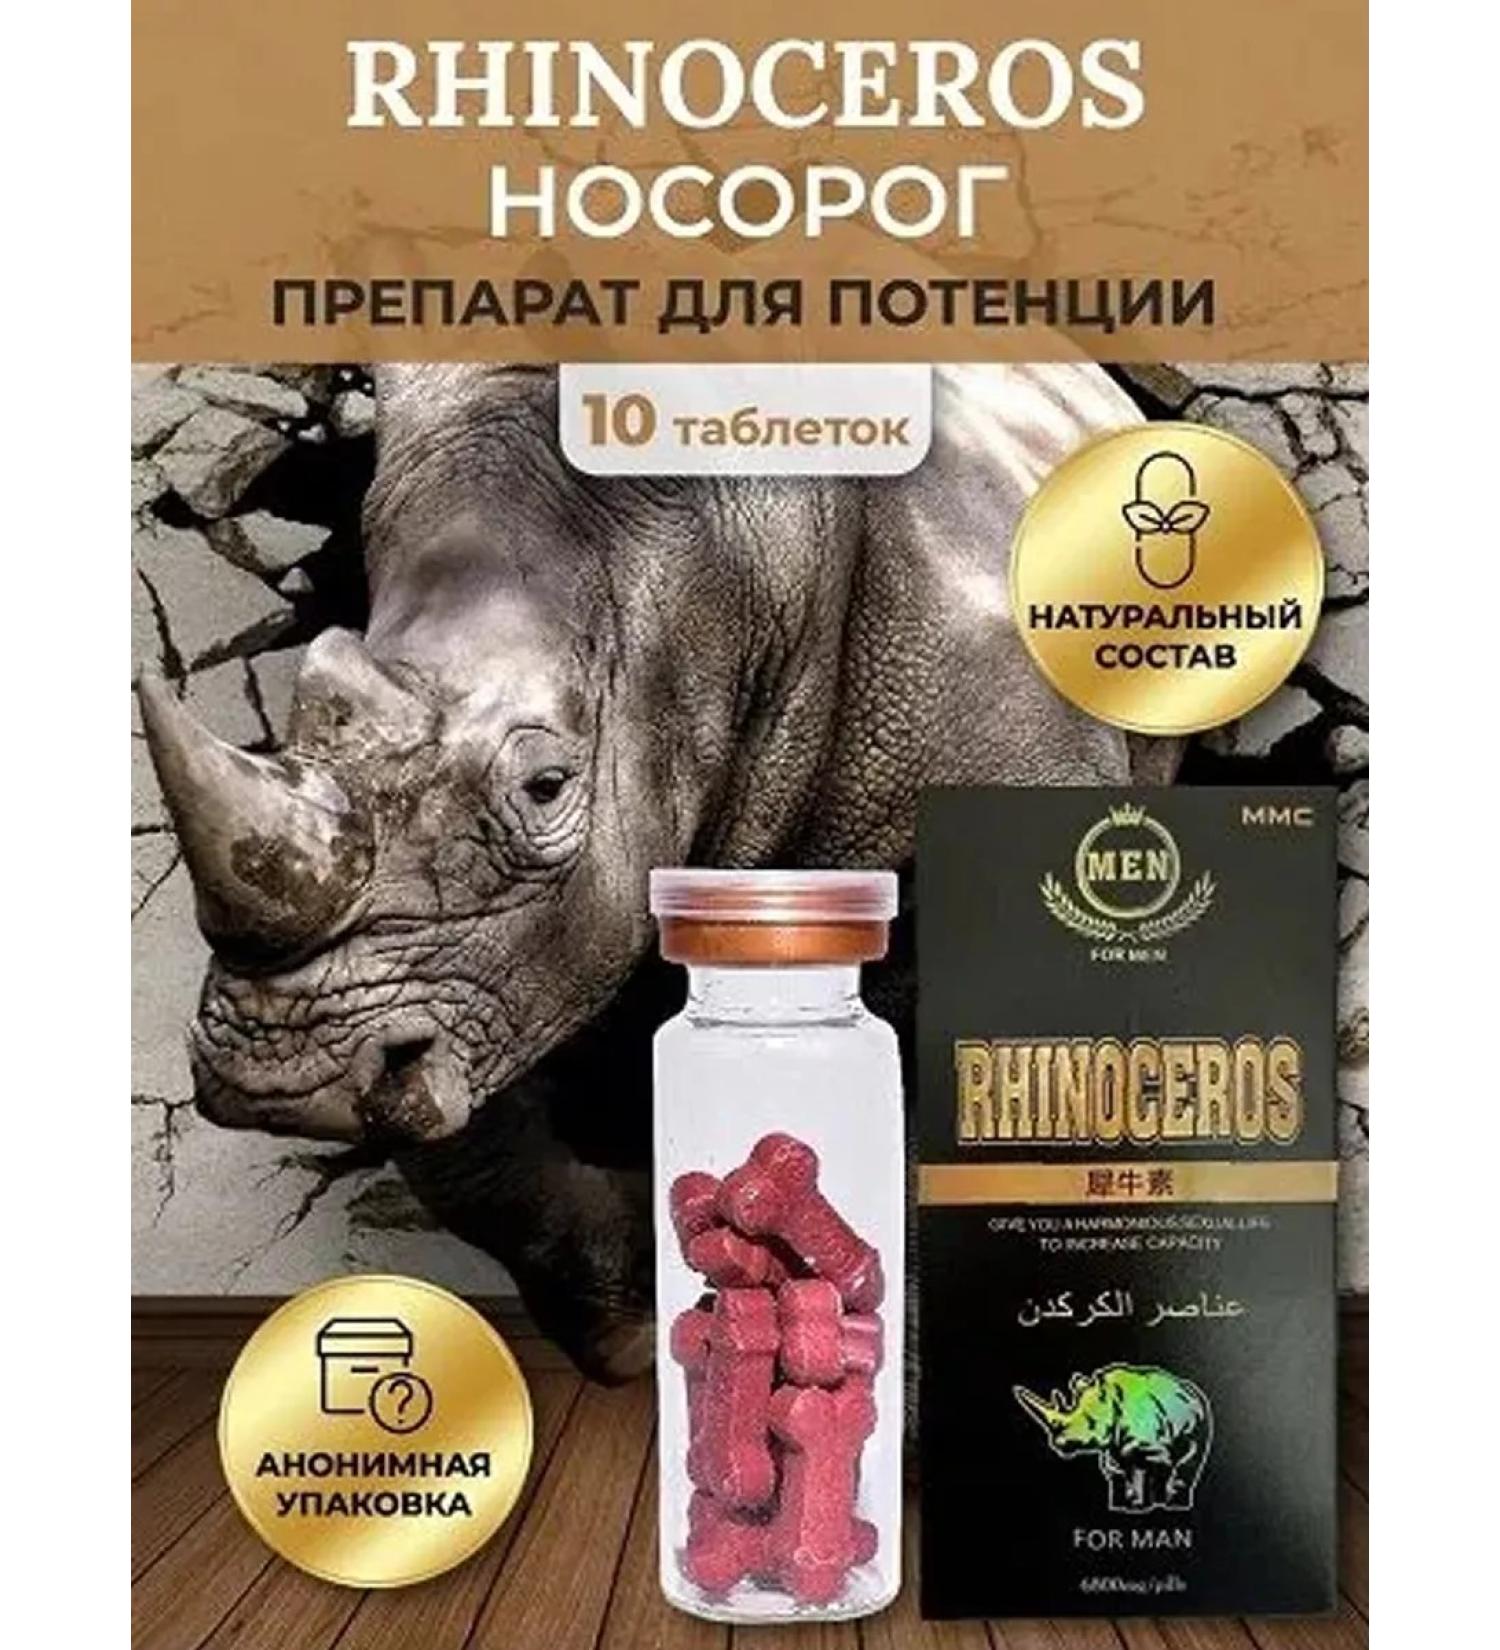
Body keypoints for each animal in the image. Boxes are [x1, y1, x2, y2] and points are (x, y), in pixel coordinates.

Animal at [1014, 1364, 1213, 1513]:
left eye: (1091, 1423)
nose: (1058, 1444)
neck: (1110, 1402)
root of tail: (1194, 1392)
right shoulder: (1113, 1447)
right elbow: (1119, 1472)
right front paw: (1123, 1505)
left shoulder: (1149, 1447)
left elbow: (1148, 1470)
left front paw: (1142, 1507)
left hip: (1200, 1419)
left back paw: (1174, 1505)